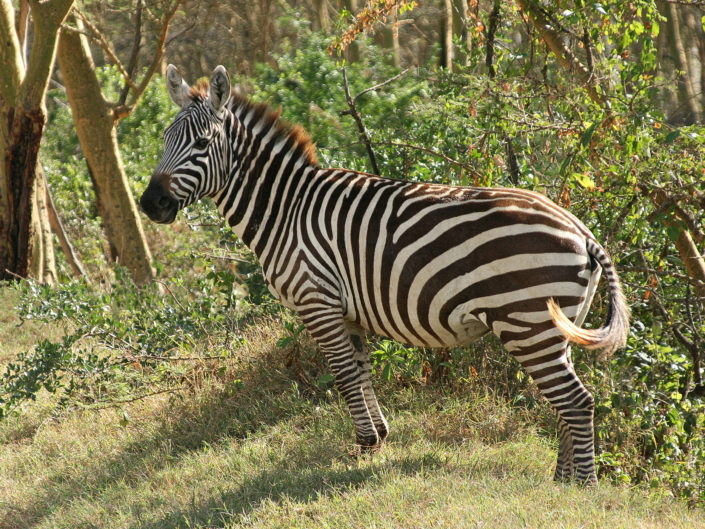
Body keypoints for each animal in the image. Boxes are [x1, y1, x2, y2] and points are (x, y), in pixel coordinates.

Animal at [140, 65, 630, 485]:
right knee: (564, 403)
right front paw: (377, 439)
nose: (149, 204)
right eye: (164, 139)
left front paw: (361, 443)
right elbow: (360, 372)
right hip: (557, 328)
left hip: (527, 322)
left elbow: (341, 375)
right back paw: (561, 479)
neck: (286, 210)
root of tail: (582, 231)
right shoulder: (347, 311)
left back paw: (581, 487)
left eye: (202, 144)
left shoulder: (317, 302)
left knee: (577, 402)